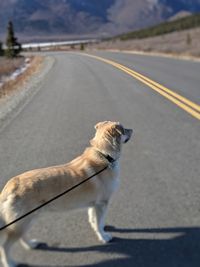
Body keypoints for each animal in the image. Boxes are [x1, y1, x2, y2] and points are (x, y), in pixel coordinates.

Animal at [0, 122, 133, 267]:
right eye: (124, 129)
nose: (132, 130)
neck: (104, 155)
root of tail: (11, 185)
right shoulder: (102, 204)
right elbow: (99, 222)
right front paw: (103, 236)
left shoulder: (94, 204)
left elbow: (94, 219)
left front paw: (99, 228)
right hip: (22, 222)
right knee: (5, 246)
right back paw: (10, 263)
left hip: (27, 219)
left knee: (22, 237)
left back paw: (32, 244)